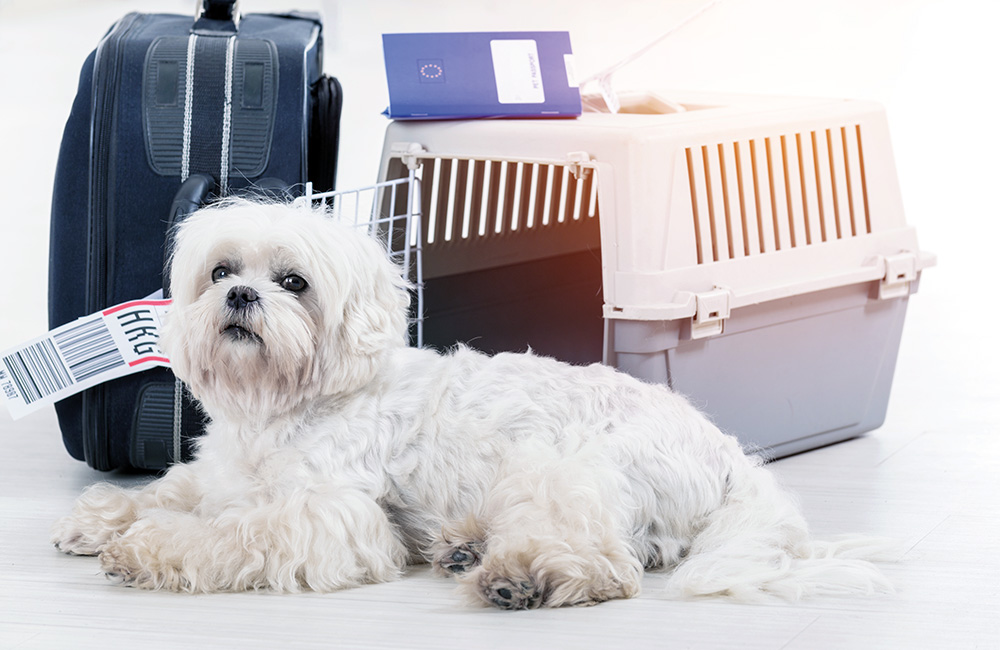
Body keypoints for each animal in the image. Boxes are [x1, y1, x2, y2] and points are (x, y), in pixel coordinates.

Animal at [48, 199, 892, 608]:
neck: (287, 405)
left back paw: (518, 577)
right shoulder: (223, 471)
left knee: (608, 563)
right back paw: (467, 547)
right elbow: (176, 489)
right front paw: (102, 519)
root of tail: (729, 456)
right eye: (222, 270)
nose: (241, 296)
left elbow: (230, 531)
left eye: (294, 283)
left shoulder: (330, 517)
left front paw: (147, 547)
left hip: (560, 466)